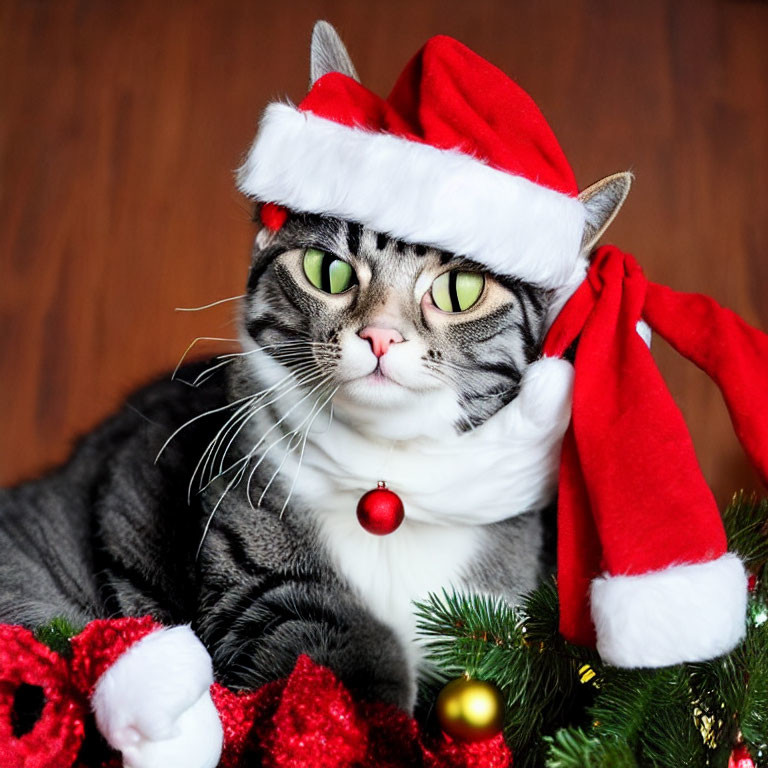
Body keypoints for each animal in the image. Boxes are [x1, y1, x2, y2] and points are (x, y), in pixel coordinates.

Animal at [0, 21, 632, 764]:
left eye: (460, 290)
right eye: (327, 271)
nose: (380, 336)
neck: (392, 482)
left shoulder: (499, 609)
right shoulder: (256, 567)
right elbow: (335, 646)